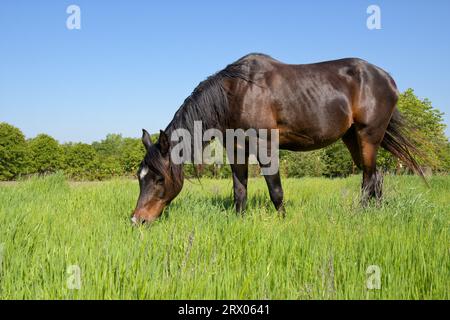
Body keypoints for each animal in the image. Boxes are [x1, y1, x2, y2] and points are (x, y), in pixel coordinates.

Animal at [131, 53, 426, 222]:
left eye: (159, 179)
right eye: (140, 177)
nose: (137, 220)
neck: (238, 91)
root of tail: (388, 79)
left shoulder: (265, 145)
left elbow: (276, 190)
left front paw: (283, 221)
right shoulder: (236, 148)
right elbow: (239, 191)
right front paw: (239, 222)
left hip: (368, 136)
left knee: (368, 179)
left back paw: (360, 214)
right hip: (352, 138)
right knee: (375, 176)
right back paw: (376, 213)